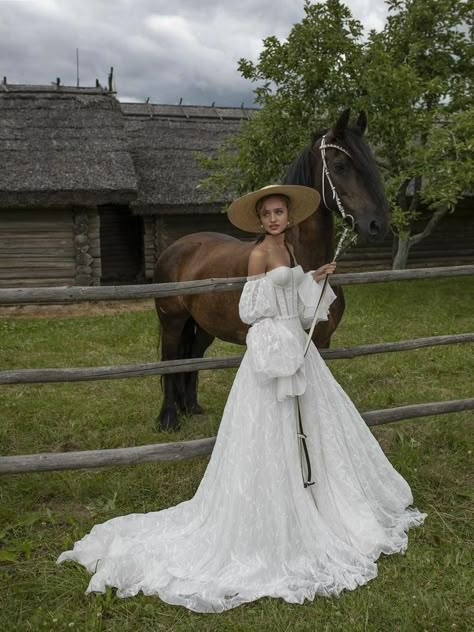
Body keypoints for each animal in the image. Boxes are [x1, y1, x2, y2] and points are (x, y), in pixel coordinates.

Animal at [153, 111, 388, 432]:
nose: (378, 225)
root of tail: (176, 247)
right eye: (340, 166)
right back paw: (168, 419)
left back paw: (190, 406)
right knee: (171, 361)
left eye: (372, 163)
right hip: (172, 323)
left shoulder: (320, 344)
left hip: (204, 325)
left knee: (193, 356)